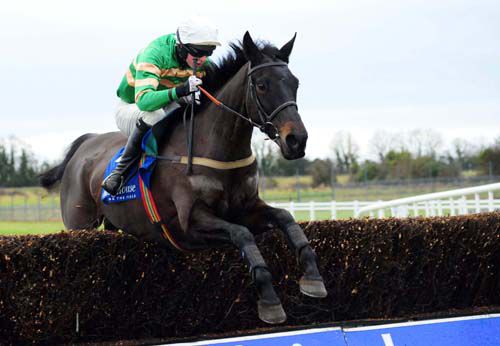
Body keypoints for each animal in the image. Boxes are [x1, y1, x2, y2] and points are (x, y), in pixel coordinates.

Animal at [40, 32, 328, 324]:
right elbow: (243, 234)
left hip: (114, 222)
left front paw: (313, 278)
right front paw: (270, 301)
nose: (297, 140)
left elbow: (286, 218)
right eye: (261, 85)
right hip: (79, 224)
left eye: (295, 83)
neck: (218, 150)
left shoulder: (246, 208)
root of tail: (86, 143)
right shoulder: (189, 224)